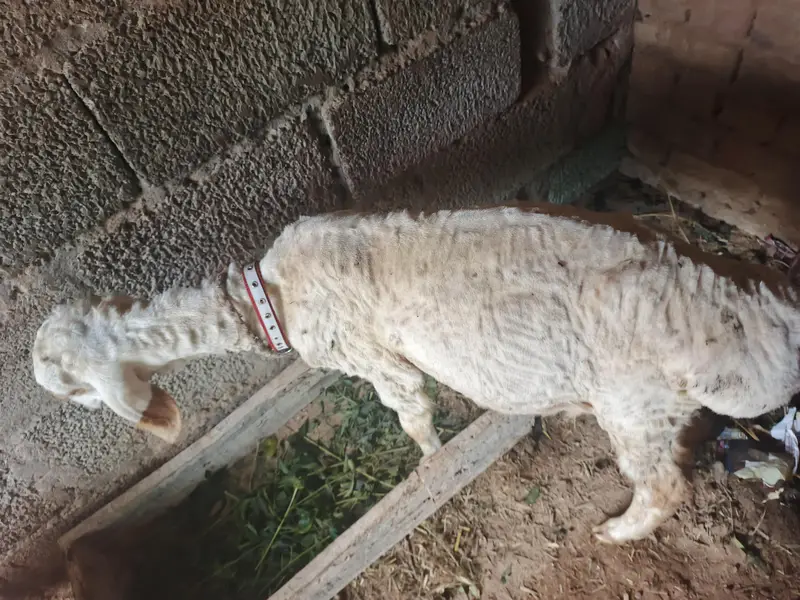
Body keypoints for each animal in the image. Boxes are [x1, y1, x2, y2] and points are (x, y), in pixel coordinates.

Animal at [32, 202, 800, 544]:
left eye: (68, 388)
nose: (59, 404)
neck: (272, 297)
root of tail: (755, 308)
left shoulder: (372, 355)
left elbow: (411, 412)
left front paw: (429, 466)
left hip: (635, 402)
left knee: (663, 486)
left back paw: (616, 531)